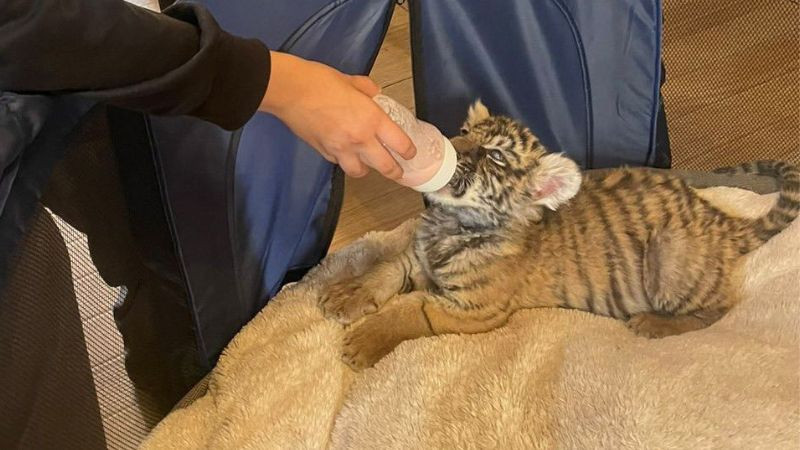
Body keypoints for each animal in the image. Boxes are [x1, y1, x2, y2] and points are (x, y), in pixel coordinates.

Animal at [319, 100, 800, 370]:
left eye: (495, 156)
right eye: (465, 132)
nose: (450, 147)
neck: (453, 224)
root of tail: (717, 217)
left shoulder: (475, 310)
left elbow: (411, 310)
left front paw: (361, 343)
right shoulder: (415, 258)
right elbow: (384, 270)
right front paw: (344, 294)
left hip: (670, 256)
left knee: (717, 309)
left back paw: (652, 324)